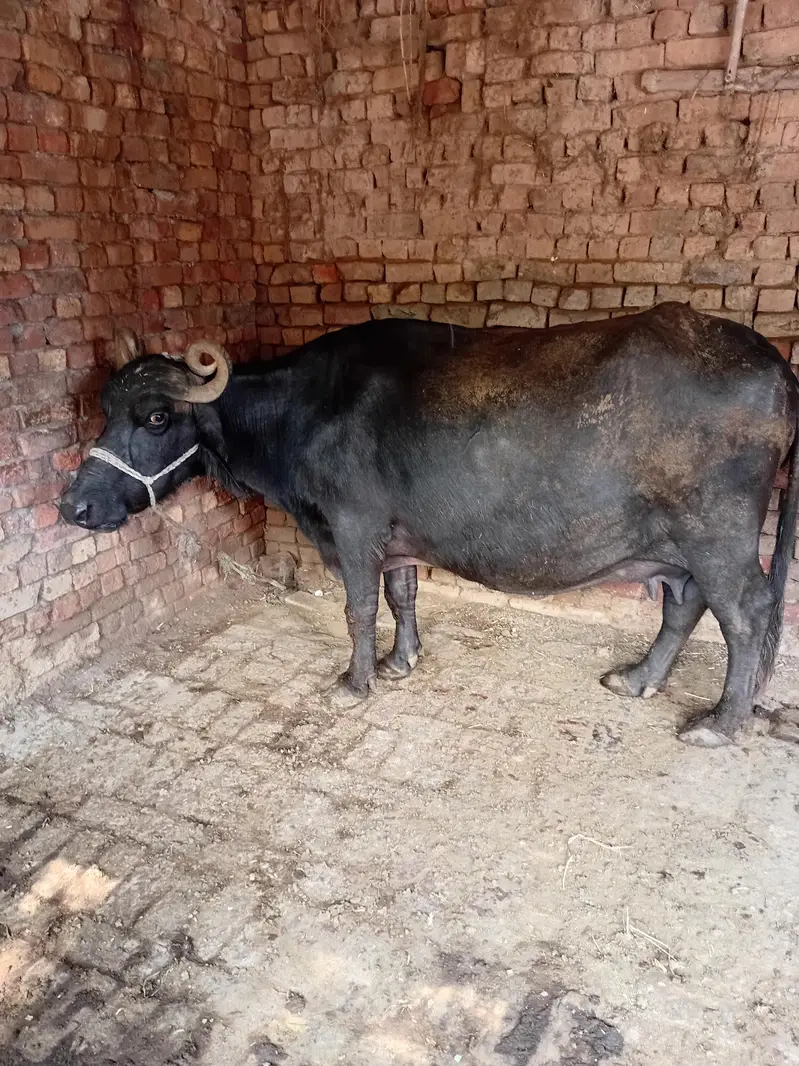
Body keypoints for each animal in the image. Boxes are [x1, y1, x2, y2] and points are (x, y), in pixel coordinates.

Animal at [60, 304, 799, 747]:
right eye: (104, 409)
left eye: (157, 417)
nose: (73, 507)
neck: (304, 410)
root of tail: (770, 360)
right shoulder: (396, 537)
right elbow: (402, 593)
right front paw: (401, 659)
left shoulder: (352, 529)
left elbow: (359, 607)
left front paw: (355, 680)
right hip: (678, 546)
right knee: (685, 605)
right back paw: (640, 678)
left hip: (718, 537)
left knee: (747, 614)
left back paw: (720, 722)